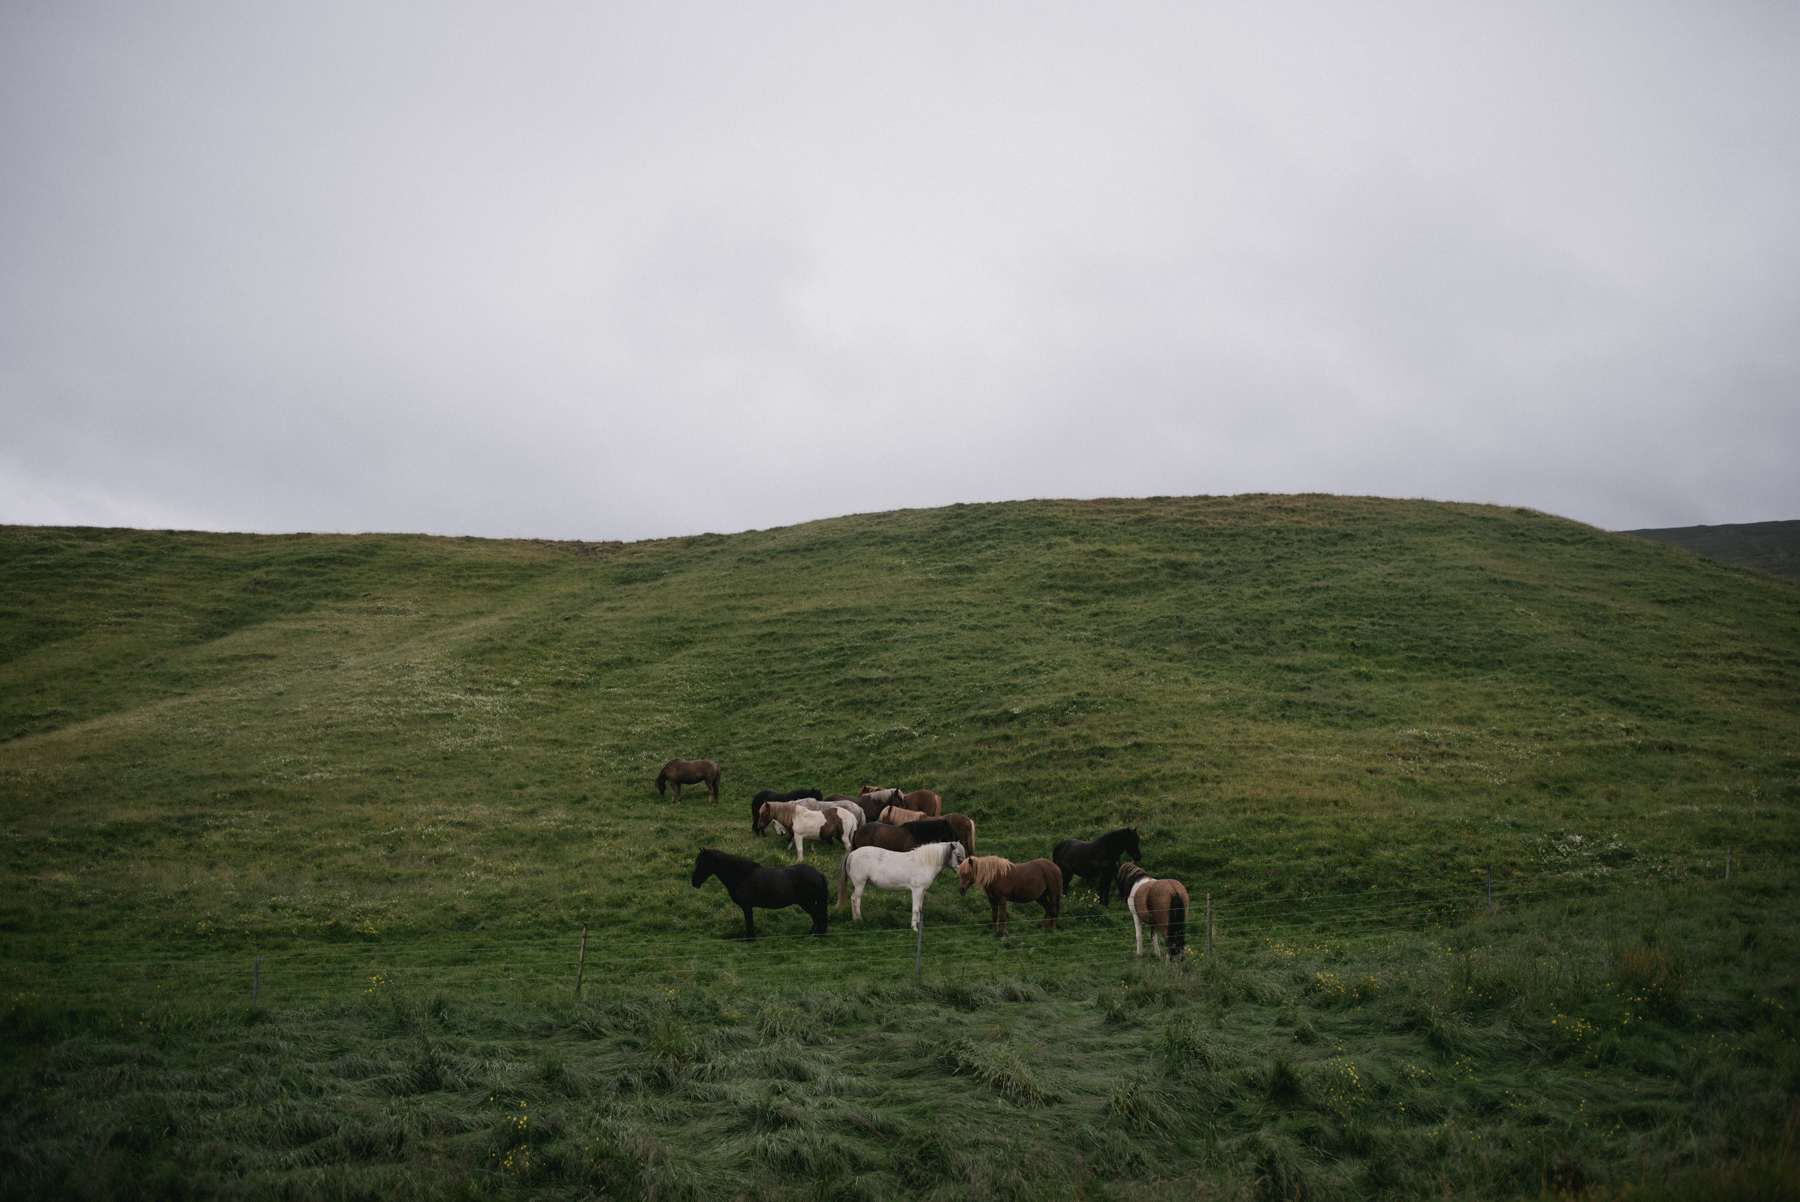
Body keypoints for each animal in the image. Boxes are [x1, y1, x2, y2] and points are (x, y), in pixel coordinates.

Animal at [687, 849, 828, 942]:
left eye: (702, 863)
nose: (694, 882)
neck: (741, 875)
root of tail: (819, 874)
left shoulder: (747, 906)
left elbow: (749, 922)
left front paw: (750, 939)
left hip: (807, 903)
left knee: (817, 918)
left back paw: (814, 936)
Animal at [842, 834, 972, 928]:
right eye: (959, 856)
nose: (965, 872)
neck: (925, 862)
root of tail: (851, 854)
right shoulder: (916, 890)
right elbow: (915, 908)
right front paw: (914, 928)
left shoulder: (922, 891)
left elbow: (919, 908)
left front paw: (919, 924)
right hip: (860, 884)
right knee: (856, 899)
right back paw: (859, 919)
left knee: (853, 898)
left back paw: (855, 919)